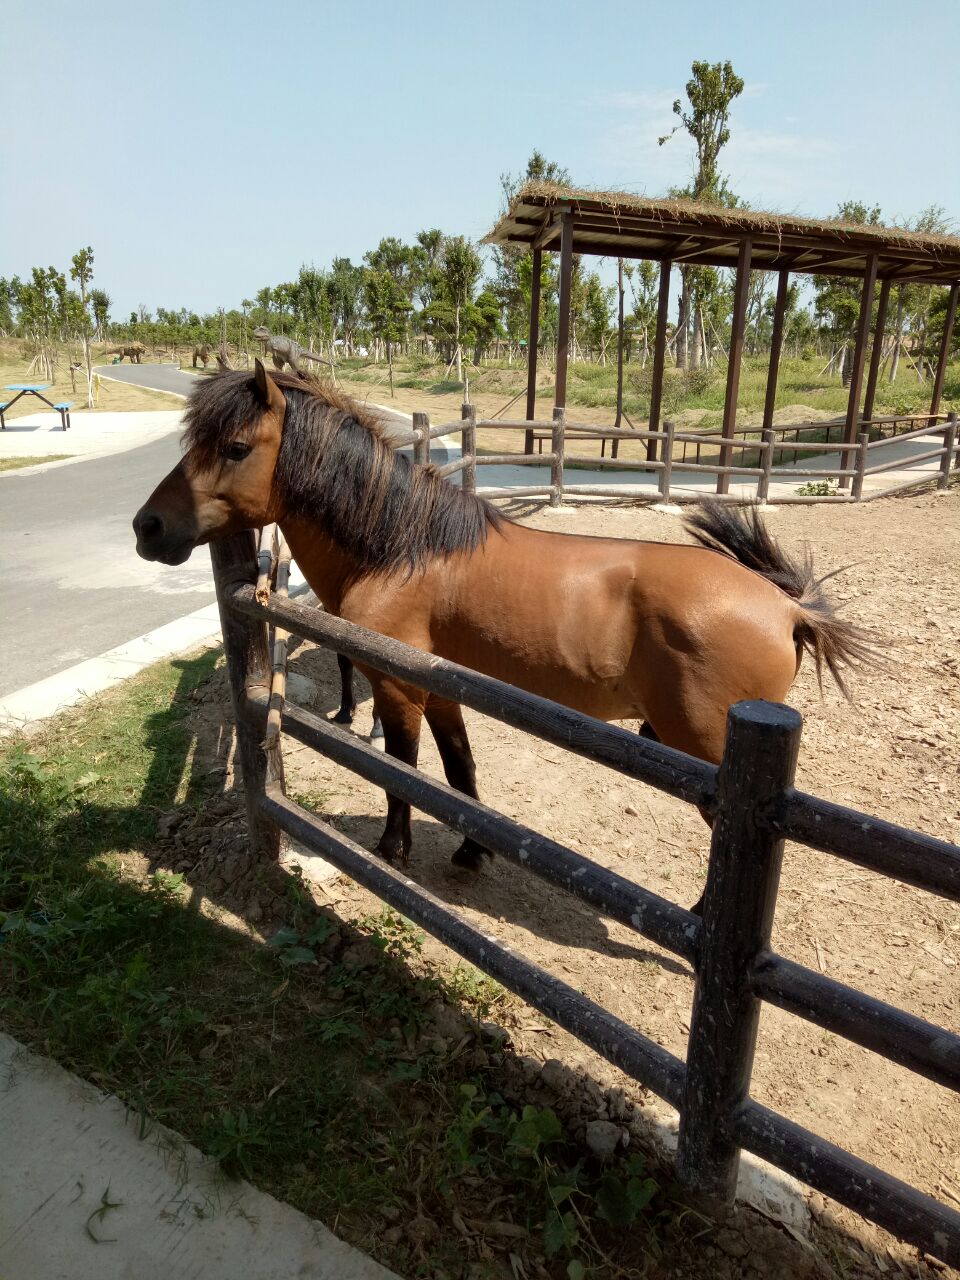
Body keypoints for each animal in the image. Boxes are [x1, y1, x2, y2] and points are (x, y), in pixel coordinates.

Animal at [135, 360, 880, 880]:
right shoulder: (440, 688)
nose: (148, 527)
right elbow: (460, 772)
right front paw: (470, 850)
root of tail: (786, 606)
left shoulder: (398, 689)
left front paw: (395, 846)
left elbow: (402, 769)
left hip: (706, 749)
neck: (402, 549)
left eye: (235, 447)